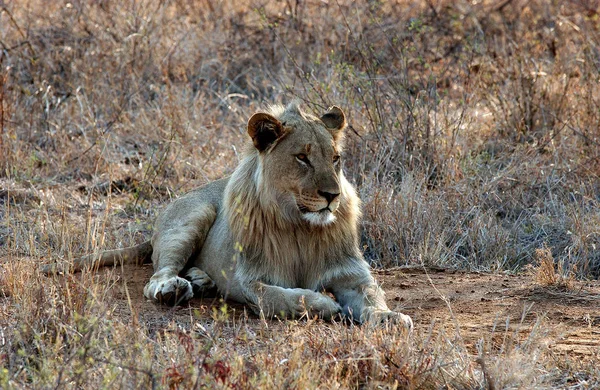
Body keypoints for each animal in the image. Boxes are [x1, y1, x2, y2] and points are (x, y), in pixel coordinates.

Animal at [42, 103, 412, 330]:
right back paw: (174, 288)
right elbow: (285, 296)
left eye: (335, 159)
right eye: (302, 158)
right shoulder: (250, 281)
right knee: (157, 275)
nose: (332, 196)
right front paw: (326, 305)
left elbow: (372, 295)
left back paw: (201, 280)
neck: (300, 227)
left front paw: (389, 317)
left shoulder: (350, 274)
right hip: (195, 215)